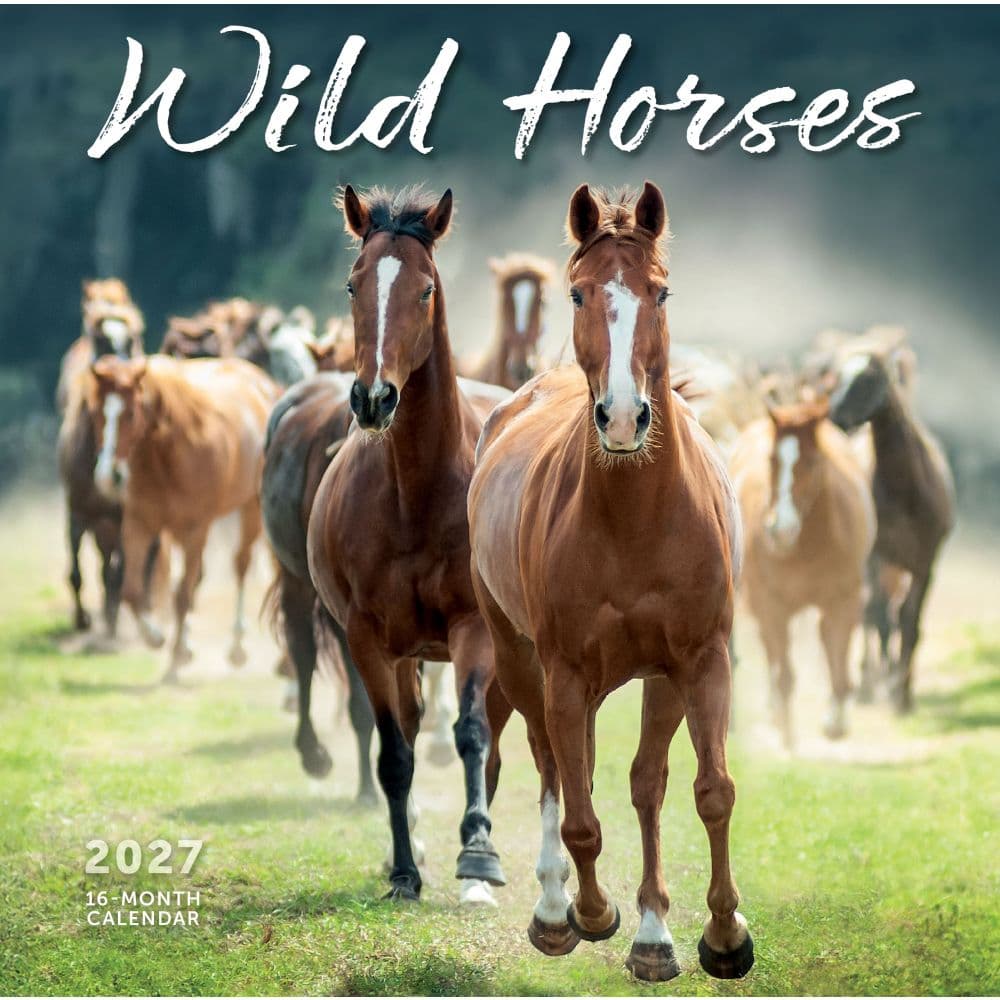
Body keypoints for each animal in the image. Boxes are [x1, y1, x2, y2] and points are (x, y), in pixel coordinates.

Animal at [85, 355, 280, 680]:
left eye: (130, 414)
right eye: (98, 414)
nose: (108, 476)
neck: (167, 448)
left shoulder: (195, 529)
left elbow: (182, 596)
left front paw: (175, 659)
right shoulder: (140, 524)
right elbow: (133, 591)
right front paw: (156, 637)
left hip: (252, 508)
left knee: (240, 565)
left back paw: (236, 645)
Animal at [306, 185, 513, 907]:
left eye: (425, 290)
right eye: (353, 283)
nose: (373, 397)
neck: (419, 493)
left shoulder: (473, 627)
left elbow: (473, 734)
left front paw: (478, 855)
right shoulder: (370, 639)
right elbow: (394, 755)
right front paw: (403, 869)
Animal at [468, 182, 752, 982]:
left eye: (661, 291)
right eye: (577, 292)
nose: (623, 418)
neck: (635, 516)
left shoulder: (699, 661)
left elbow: (706, 791)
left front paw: (720, 935)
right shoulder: (563, 672)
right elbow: (581, 817)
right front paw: (589, 914)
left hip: (652, 678)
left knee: (635, 781)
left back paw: (651, 931)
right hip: (520, 660)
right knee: (553, 771)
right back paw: (556, 909)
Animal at [729, 397, 875, 746]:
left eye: (810, 461)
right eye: (772, 459)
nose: (779, 529)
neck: (807, 547)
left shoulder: (844, 600)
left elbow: (839, 662)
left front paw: (836, 721)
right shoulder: (770, 605)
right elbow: (784, 673)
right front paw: (786, 735)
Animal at [827, 332, 955, 712]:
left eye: (870, 378)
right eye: (837, 375)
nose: (835, 417)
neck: (905, 490)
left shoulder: (924, 563)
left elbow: (909, 623)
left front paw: (903, 694)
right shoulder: (875, 557)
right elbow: (879, 618)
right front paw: (881, 686)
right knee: (870, 616)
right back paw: (869, 684)